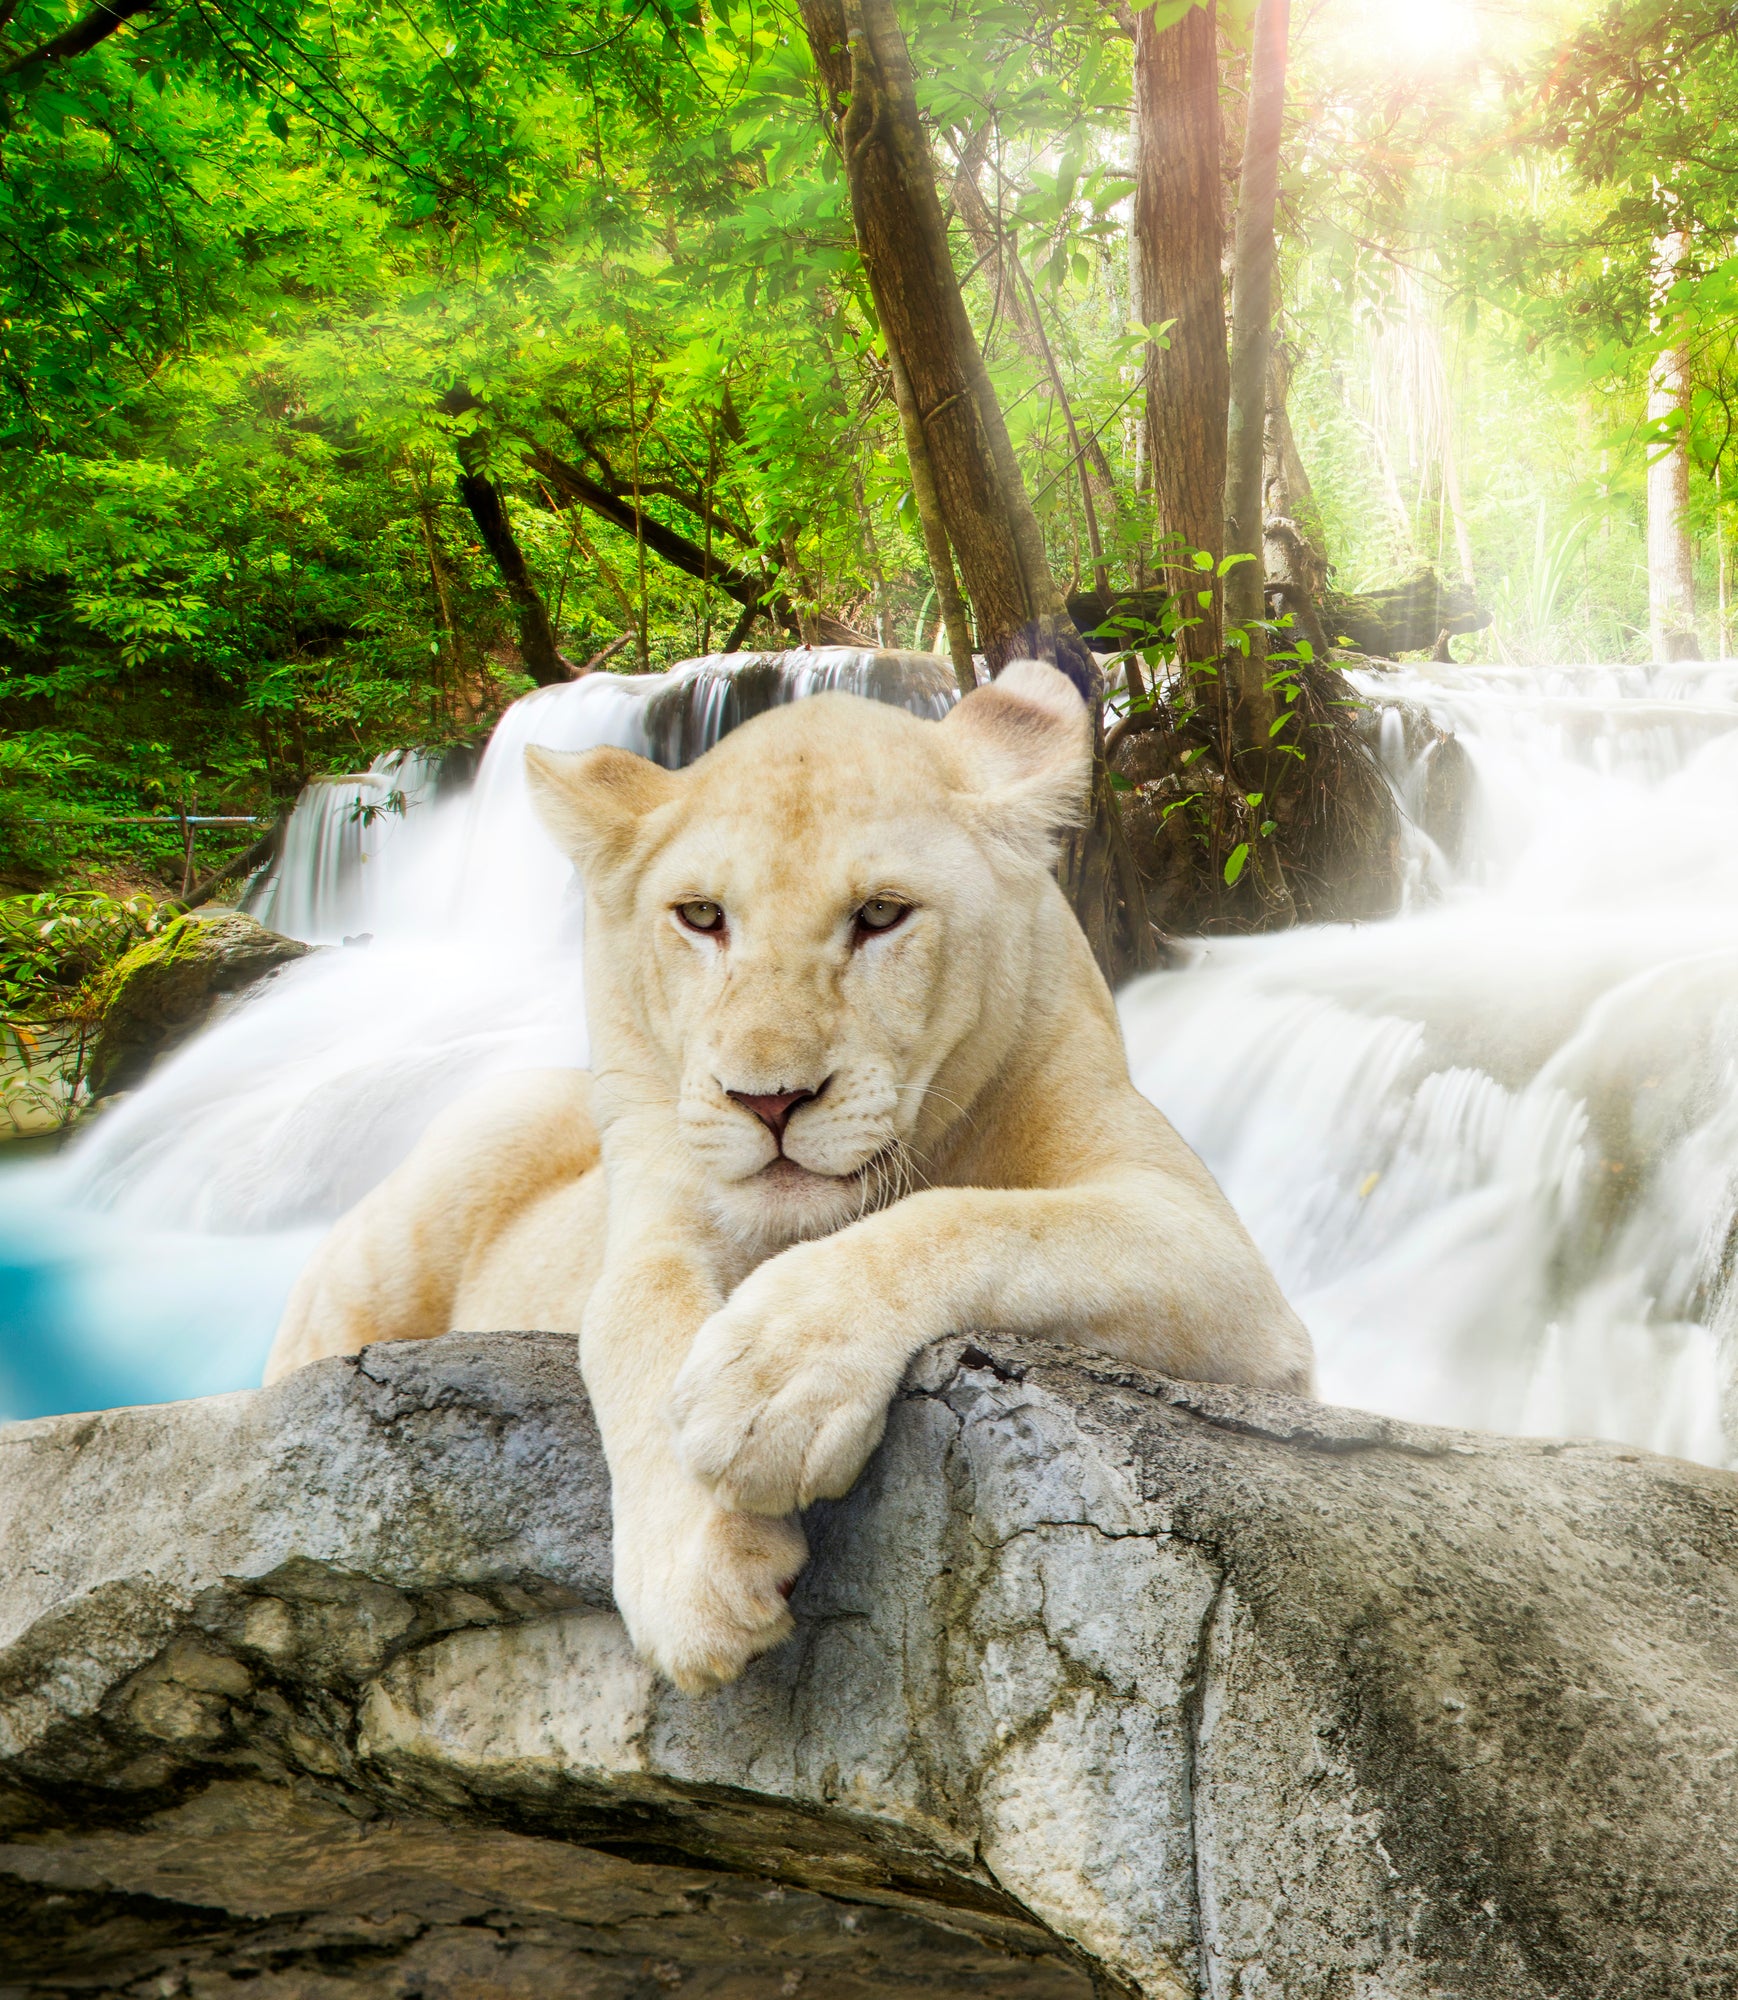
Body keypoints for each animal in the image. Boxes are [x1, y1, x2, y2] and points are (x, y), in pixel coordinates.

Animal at [265, 661, 1312, 1690]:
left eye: (881, 914)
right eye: (700, 917)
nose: (768, 1102)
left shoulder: (1219, 1257)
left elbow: (981, 1219)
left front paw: (771, 1379)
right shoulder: (656, 1209)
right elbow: (633, 1311)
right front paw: (697, 1566)